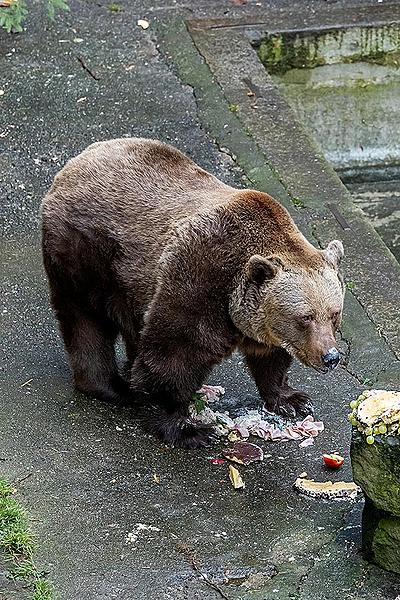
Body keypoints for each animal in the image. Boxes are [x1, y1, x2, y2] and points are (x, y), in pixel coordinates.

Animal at [41, 136, 344, 446]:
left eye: (334, 314)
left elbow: (271, 358)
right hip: (86, 254)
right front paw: (188, 428)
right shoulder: (201, 275)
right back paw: (112, 386)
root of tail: (74, 163)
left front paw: (292, 399)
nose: (331, 357)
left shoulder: (258, 322)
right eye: (305, 317)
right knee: (86, 318)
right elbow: (175, 354)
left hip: (129, 281)